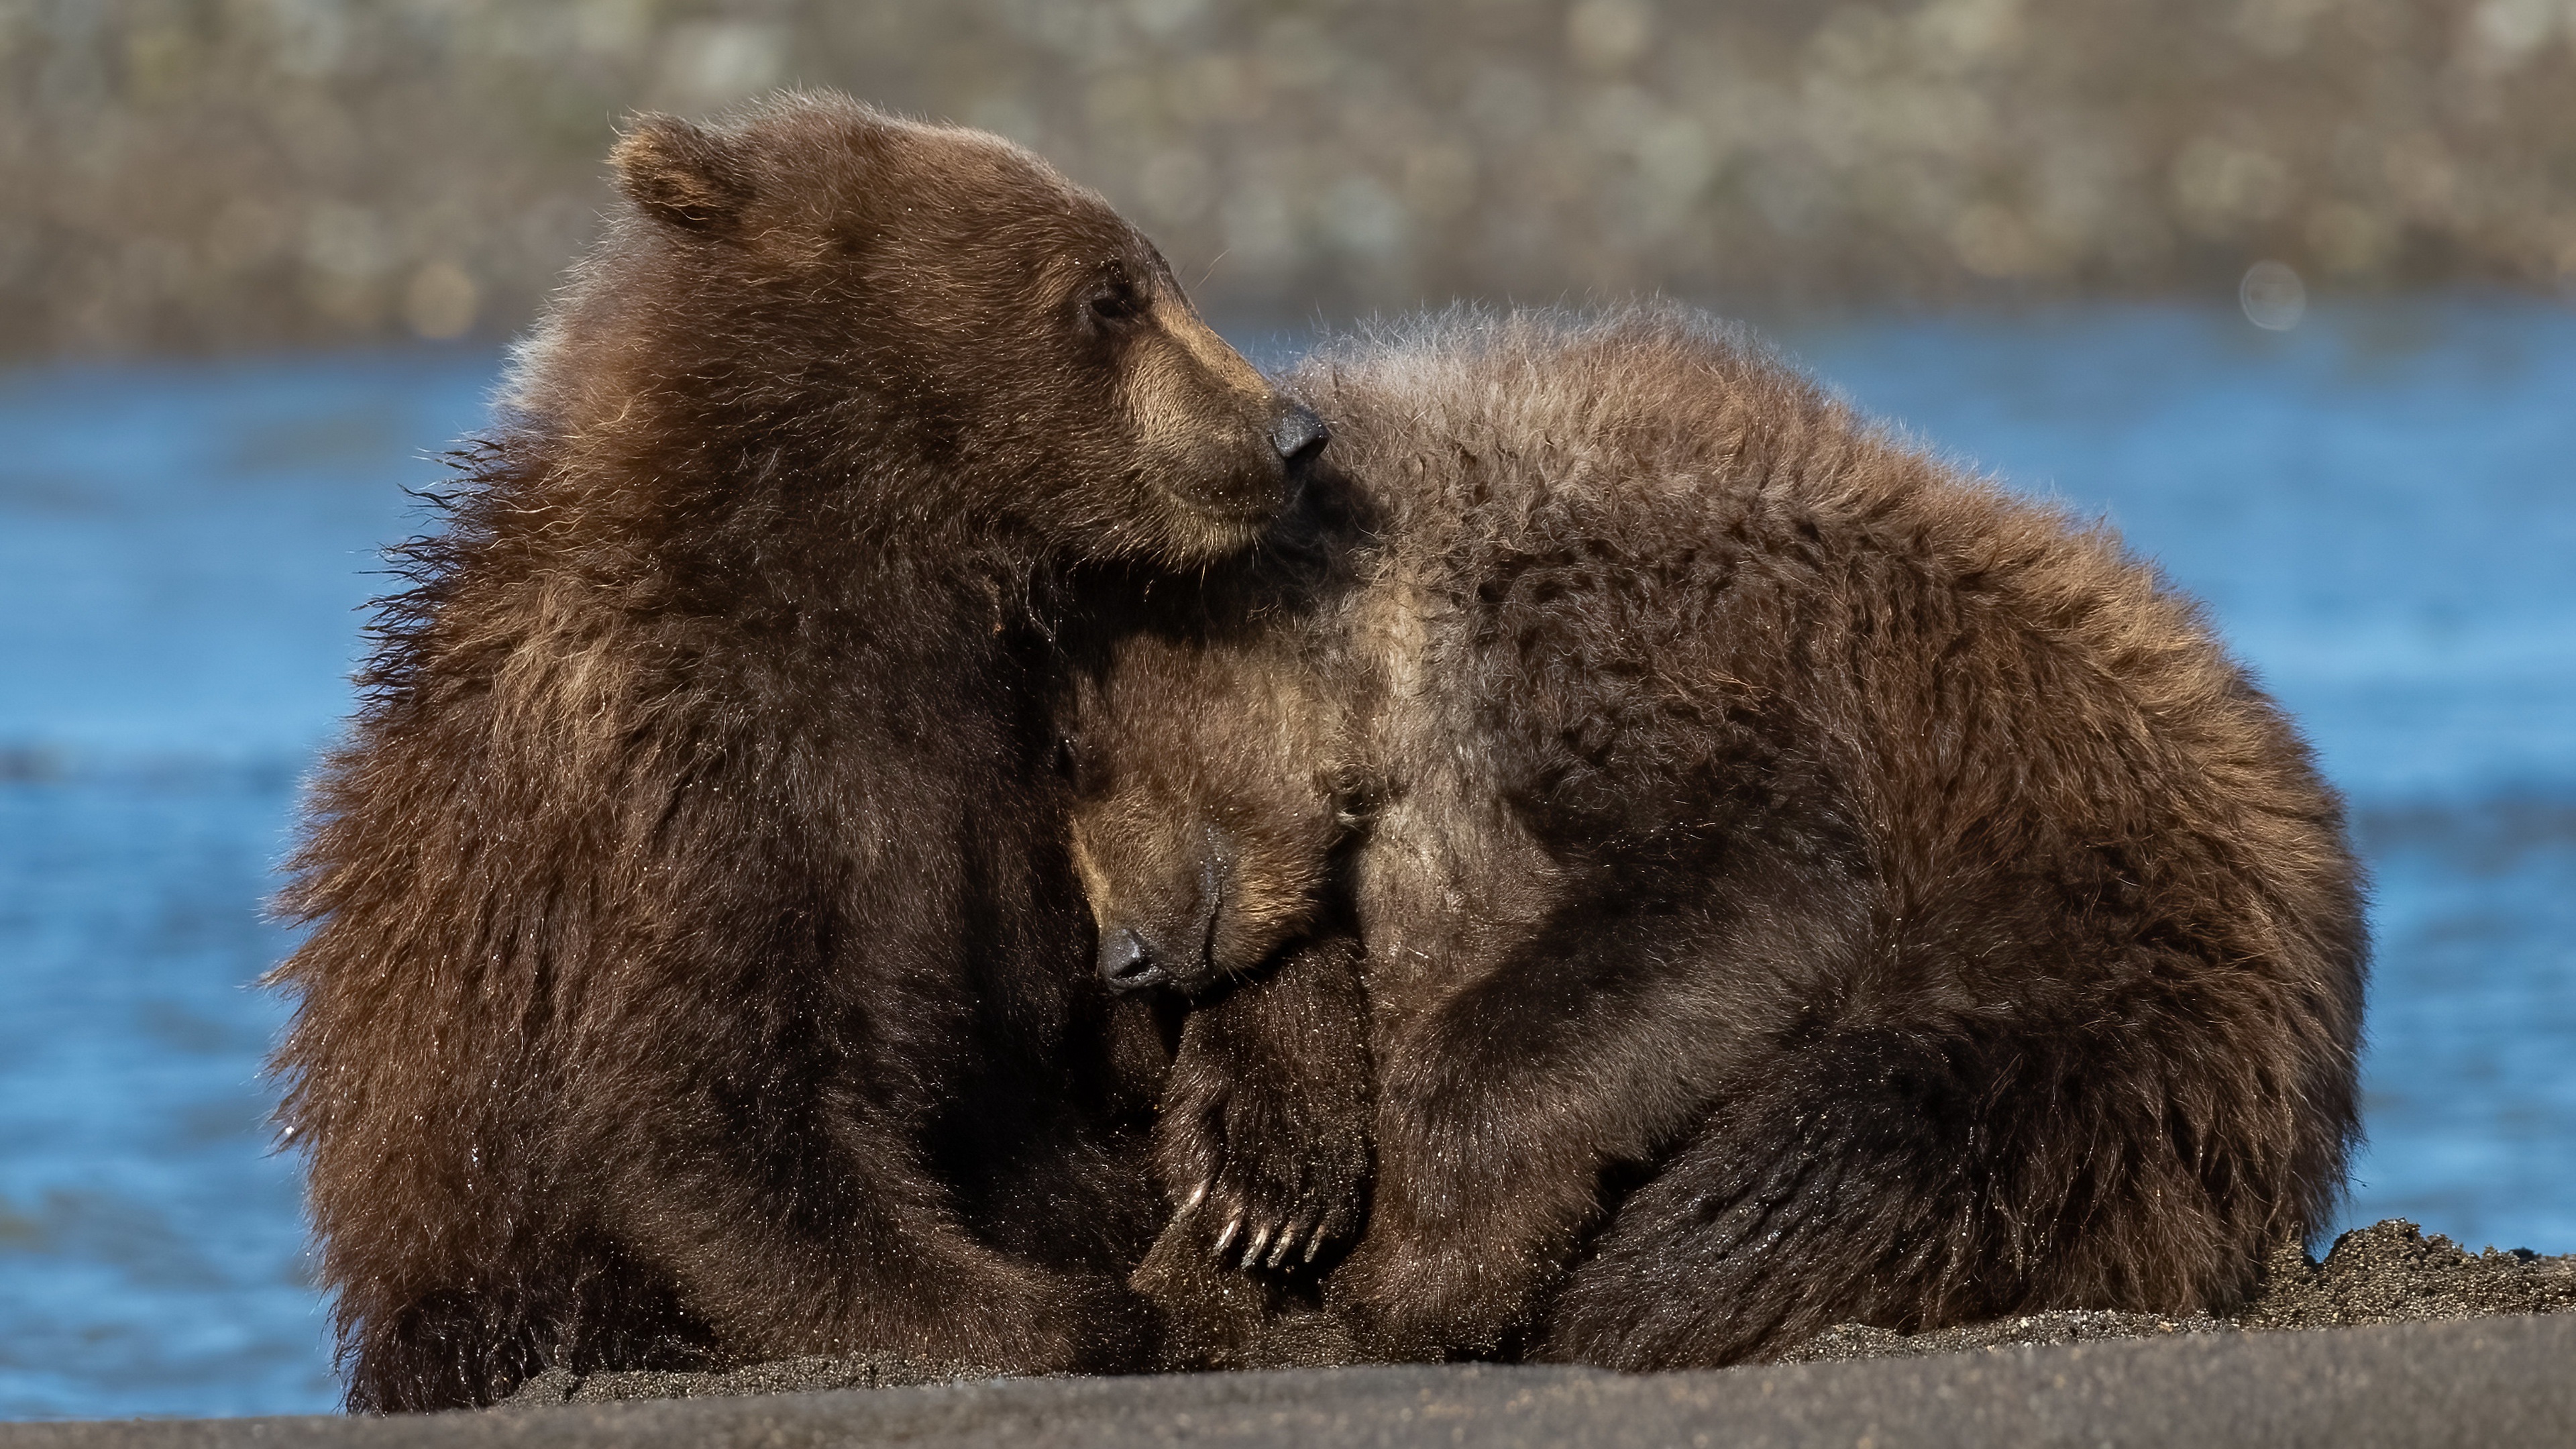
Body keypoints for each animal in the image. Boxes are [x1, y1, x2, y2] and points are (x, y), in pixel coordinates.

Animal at [266, 87, 1329, 1402]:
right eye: (1109, 295)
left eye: (1152, 274)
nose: (1292, 430)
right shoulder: (684, 775)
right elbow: (717, 1106)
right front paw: (1057, 1317)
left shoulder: (1023, 724)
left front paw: (1259, 1166)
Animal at [1056, 304, 2359, 1361]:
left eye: (1081, 758)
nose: (1124, 957)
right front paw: (1255, 1193)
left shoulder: (1642, 647)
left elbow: (1744, 893)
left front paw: (1422, 1280)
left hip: (2099, 1010)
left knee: (1844, 1150)